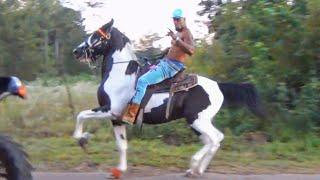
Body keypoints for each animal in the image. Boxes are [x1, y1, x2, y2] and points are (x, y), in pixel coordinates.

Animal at [72, 19, 264, 177]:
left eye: (96, 36)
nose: (76, 51)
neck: (120, 73)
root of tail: (218, 85)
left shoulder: (109, 110)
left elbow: (81, 115)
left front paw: (82, 138)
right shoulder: (117, 119)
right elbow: (122, 145)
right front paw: (119, 170)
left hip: (197, 120)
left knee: (215, 139)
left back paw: (195, 165)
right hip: (197, 122)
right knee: (213, 140)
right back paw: (197, 170)